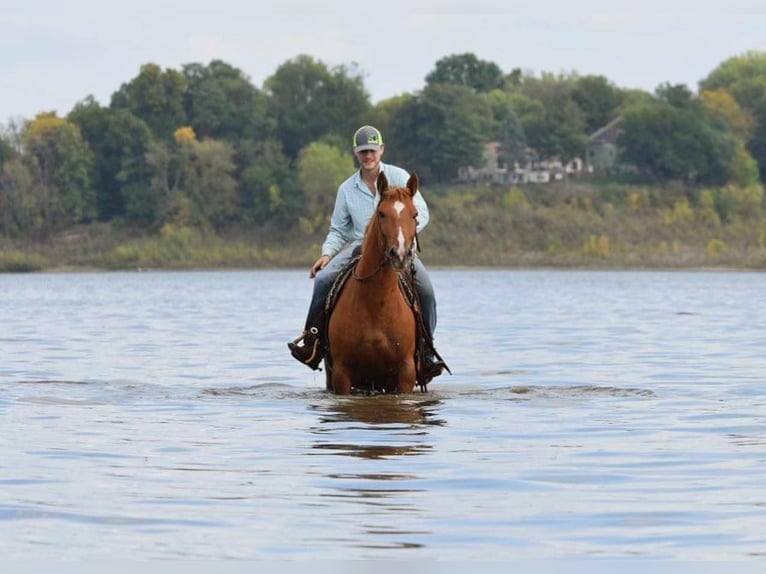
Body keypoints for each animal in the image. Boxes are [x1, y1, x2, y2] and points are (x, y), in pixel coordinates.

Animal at [324, 171, 420, 396]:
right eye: (382, 214)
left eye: (415, 215)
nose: (400, 255)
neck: (377, 304)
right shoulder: (341, 372)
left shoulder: (406, 371)